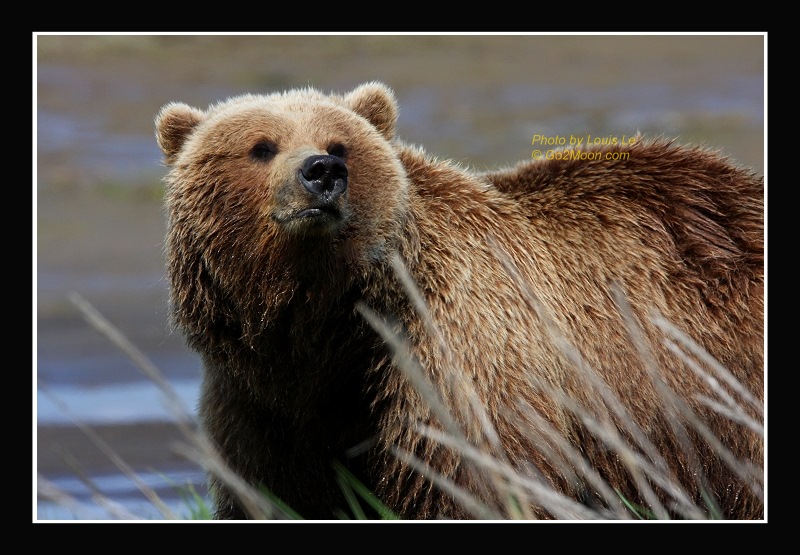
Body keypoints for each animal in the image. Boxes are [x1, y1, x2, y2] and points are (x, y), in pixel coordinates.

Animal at [155, 82, 764, 520]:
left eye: (338, 144)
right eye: (261, 146)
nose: (322, 172)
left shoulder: (456, 356)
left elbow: (474, 485)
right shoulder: (262, 407)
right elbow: (277, 492)